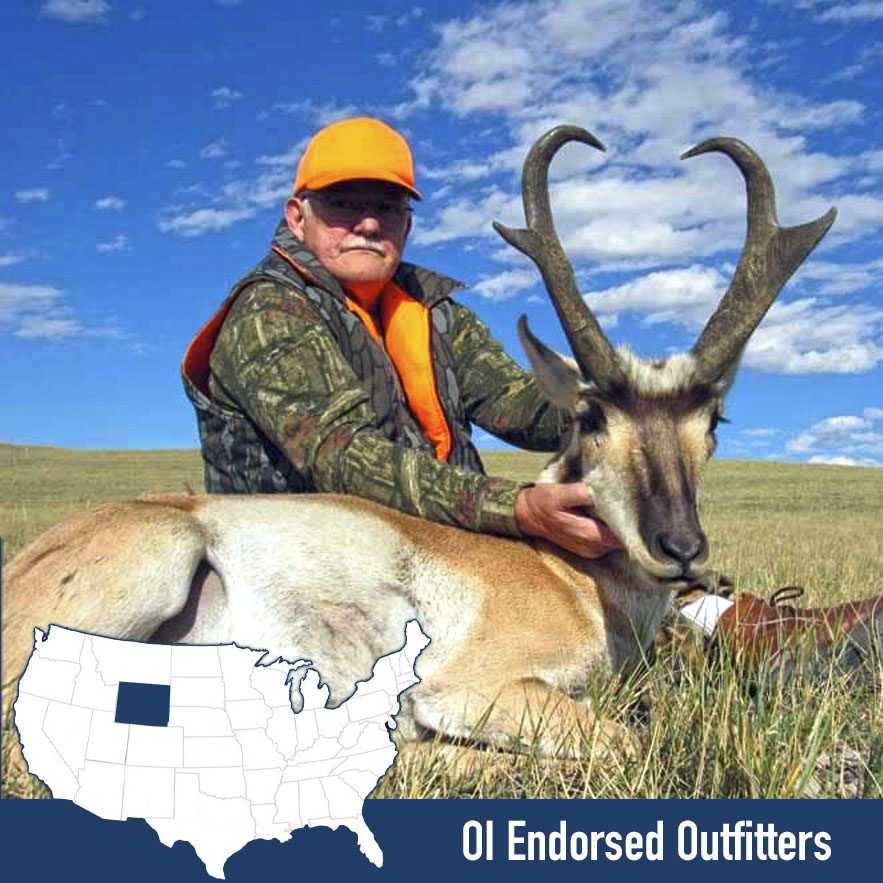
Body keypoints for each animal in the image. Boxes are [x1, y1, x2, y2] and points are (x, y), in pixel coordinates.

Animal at [2, 127, 834, 784]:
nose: (681, 547)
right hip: (163, 553)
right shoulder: (478, 688)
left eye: (713, 417)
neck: (563, 573)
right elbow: (631, 740)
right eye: (591, 414)